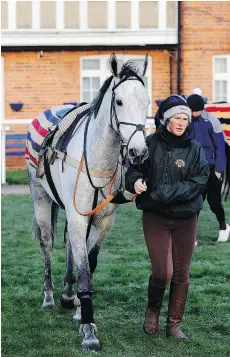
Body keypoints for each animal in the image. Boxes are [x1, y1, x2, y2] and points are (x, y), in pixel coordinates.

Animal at [26, 52, 150, 350]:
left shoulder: (102, 222)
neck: (96, 159)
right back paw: (49, 297)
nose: (139, 152)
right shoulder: (78, 218)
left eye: (146, 101)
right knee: (48, 245)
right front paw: (89, 332)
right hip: (41, 199)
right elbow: (84, 271)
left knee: (70, 243)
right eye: (119, 101)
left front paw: (82, 312)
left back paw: (68, 295)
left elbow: (89, 265)